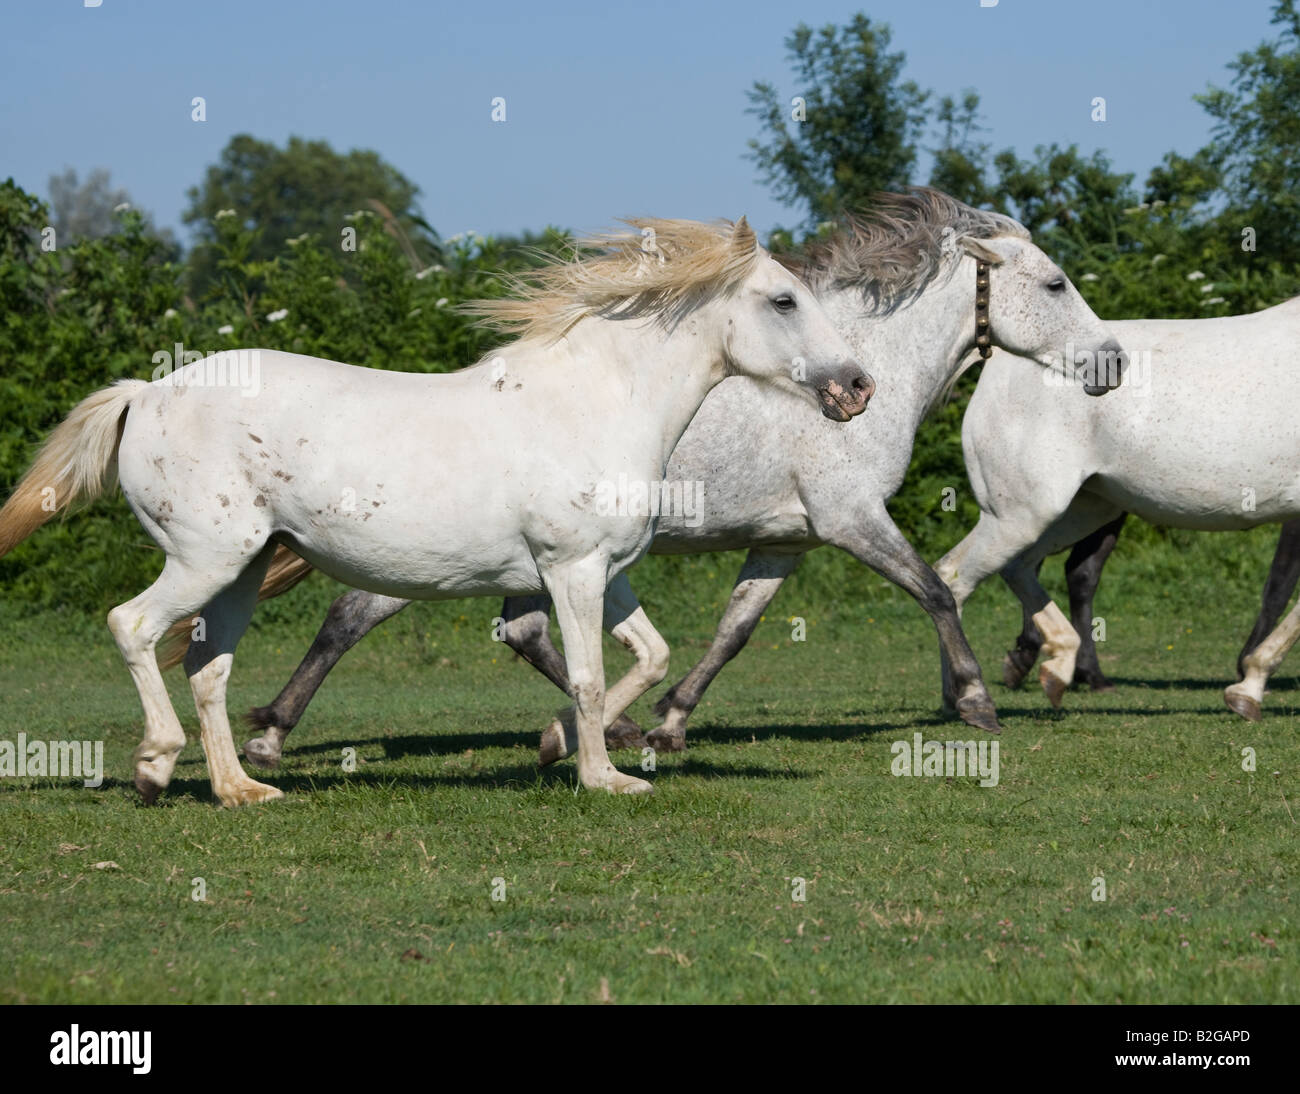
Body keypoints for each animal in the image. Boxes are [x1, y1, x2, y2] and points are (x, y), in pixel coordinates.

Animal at [0, 216, 872, 807]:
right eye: (785, 300)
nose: (859, 387)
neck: (595, 403)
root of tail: (145, 393)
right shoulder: (572, 570)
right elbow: (590, 676)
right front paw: (604, 777)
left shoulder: (606, 573)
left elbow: (649, 658)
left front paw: (553, 743)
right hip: (203, 558)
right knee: (133, 627)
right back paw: (154, 765)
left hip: (240, 570)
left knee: (207, 668)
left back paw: (241, 790)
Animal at [200, 188, 1125, 770]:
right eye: (1054, 282)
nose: (1111, 361)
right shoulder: (851, 518)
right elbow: (934, 589)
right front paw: (976, 702)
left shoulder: (786, 541)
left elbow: (735, 629)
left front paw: (671, 724)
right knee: (354, 618)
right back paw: (270, 737)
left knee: (516, 632)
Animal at [934, 295, 1300, 718]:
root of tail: (999, 364)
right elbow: (1283, 590)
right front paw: (1249, 684)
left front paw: (1249, 685)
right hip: (1024, 513)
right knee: (955, 577)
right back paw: (968, 698)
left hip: (1083, 510)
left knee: (1016, 567)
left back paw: (1055, 668)